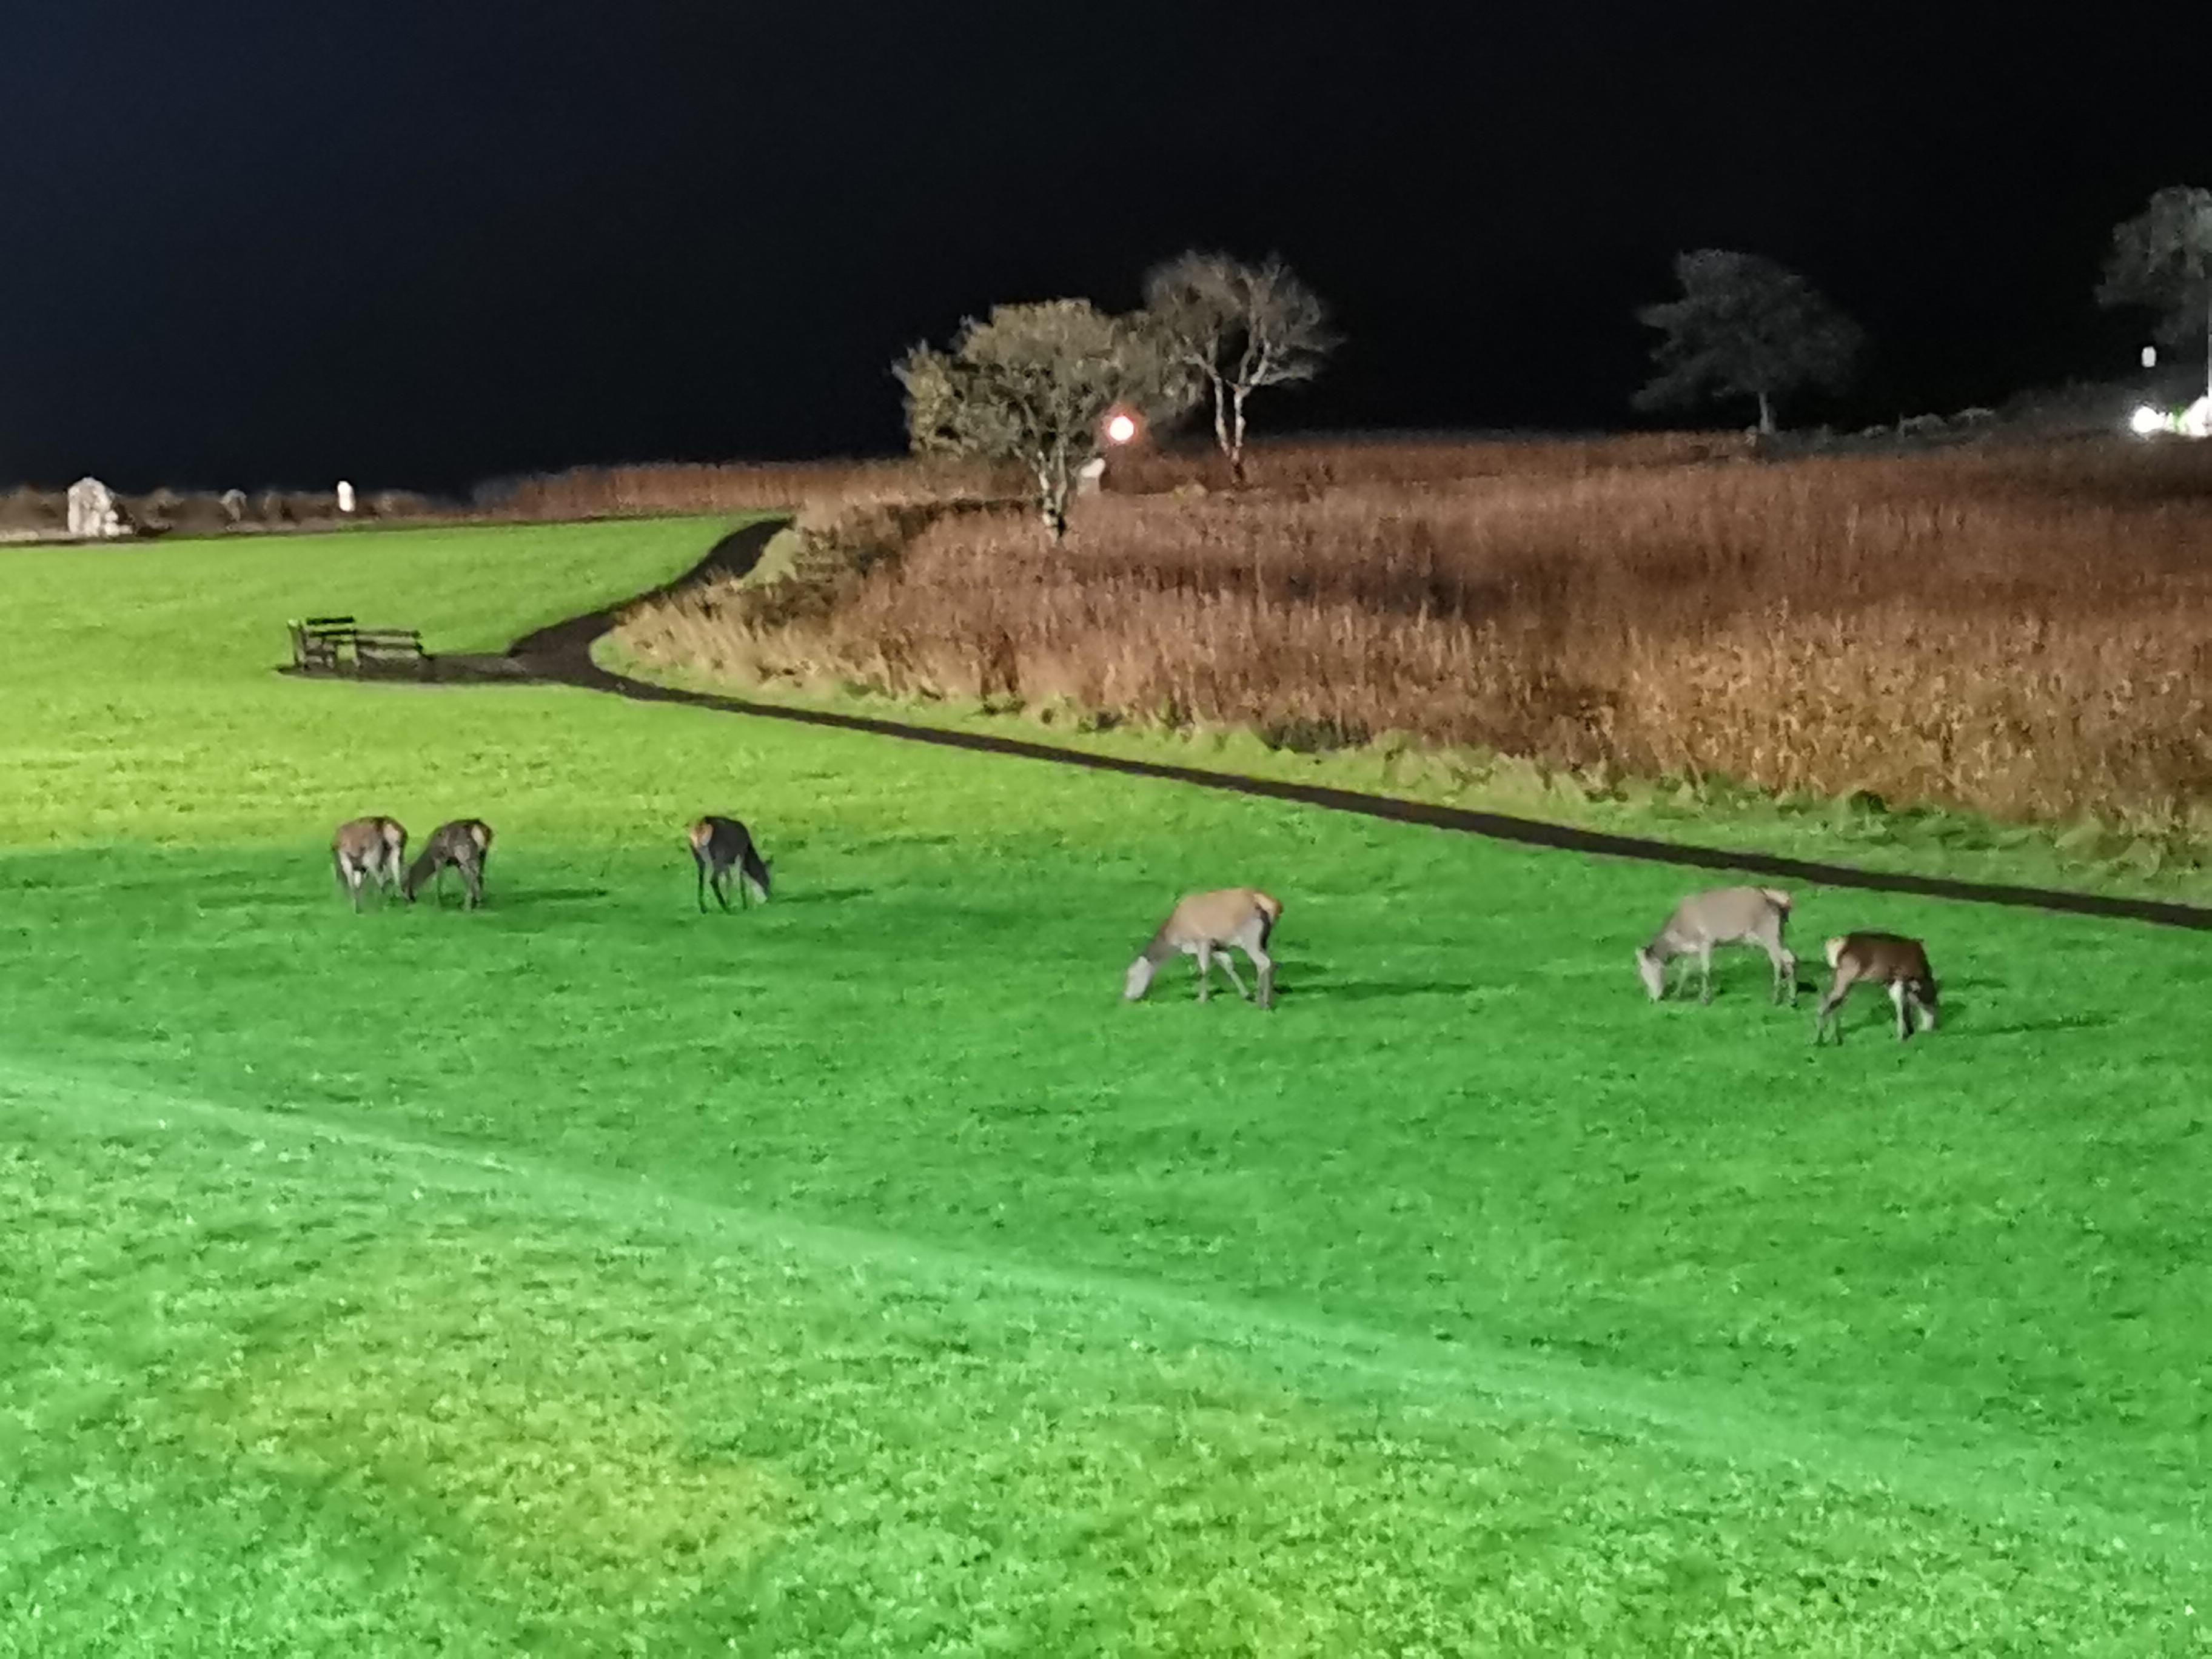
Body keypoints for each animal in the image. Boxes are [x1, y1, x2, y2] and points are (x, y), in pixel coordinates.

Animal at [407, 818, 497, 911]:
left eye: (407, 881)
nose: (410, 899)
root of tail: (479, 828)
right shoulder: (457, 863)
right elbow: (464, 879)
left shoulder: (439, 858)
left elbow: (439, 879)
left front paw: (438, 904)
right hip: (482, 854)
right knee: (479, 874)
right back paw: (477, 903)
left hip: (464, 852)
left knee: (473, 875)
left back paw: (468, 906)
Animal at [690, 814, 779, 916]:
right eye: (767, 879)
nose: (770, 896)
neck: (749, 850)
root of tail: (701, 827)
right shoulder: (741, 853)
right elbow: (741, 879)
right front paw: (745, 905)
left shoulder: (727, 863)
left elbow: (729, 880)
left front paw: (730, 902)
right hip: (719, 853)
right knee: (713, 880)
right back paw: (725, 908)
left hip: (698, 855)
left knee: (701, 879)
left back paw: (704, 908)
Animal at [1124, 889, 1282, 1008]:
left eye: (1131, 976)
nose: (1127, 996)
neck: (1176, 938)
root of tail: (1271, 903)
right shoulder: (1217, 946)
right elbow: (1228, 965)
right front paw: (1245, 994)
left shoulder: (1203, 941)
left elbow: (1203, 969)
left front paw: (1202, 999)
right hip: (1263, 940)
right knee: (1272, 962)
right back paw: (1269, 998)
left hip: (1250, 937)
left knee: (1263, 963)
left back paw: (1262, 1002)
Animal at [1627, 889, 1796, 1008]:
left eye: (1645, 971)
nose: (1652, 999)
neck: (1680, 938)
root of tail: (1784, 901)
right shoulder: (1693, 949)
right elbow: (1685, 970)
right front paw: (1677, 994)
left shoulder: (1706, 941)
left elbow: (1705, 969)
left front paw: (1704, 999)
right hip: (1778, 934)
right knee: (1789, 957)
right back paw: (1792, 998)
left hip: (1768, 933)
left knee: (1777, 961)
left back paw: (1776, 998)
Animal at [1814, 929, 1937, 1044]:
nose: (1928, 1029)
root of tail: (1834, 944)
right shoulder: (1903, 977)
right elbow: (1902, 1006)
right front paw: (1902, 1037)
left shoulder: (1893, 980)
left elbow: (1900, 1003)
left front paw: (1905, 1034)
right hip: (1847, 975)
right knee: (1828, 1003)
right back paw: (1819, 1040)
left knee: (1831, 1003)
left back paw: (1835, 1039)